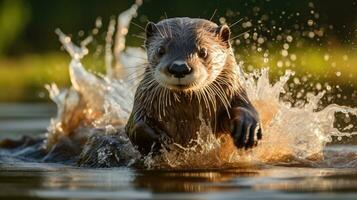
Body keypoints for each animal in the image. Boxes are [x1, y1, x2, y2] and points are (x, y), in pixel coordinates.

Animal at [126, 17, 262, 155]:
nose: (179, 67)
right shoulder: (143, 102)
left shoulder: (235, 93)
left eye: (203, 52)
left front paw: (246, 126)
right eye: (160, 50)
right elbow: (135, 126)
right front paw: (160, 141)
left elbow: (244, 109)